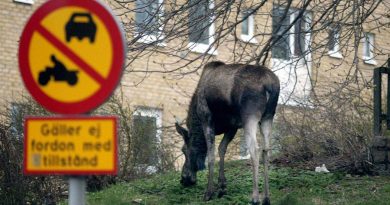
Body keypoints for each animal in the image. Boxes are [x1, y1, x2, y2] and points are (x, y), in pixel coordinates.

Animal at [175, 61, 278, 204]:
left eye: (184, 150)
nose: (183, 179)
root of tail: (270, 85)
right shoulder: (232, 126)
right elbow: (221, 148)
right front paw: (222, 186)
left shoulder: (207, 118)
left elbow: (211, 156)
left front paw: (209, 192)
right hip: (268, 116)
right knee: (266, 150)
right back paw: (267, 198)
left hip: (250, 115)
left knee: (254, 149)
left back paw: (255, 197)